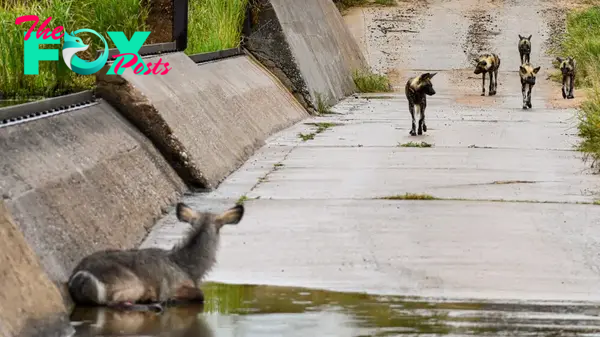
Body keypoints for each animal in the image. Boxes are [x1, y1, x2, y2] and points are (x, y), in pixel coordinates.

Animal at [66, 201, 244, 312]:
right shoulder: (175, 287)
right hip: (132, 284)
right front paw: (171, 300)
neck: (187, 265)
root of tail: (80, 276)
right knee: (116, 303)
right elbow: (200, 294)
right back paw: (154, 305)